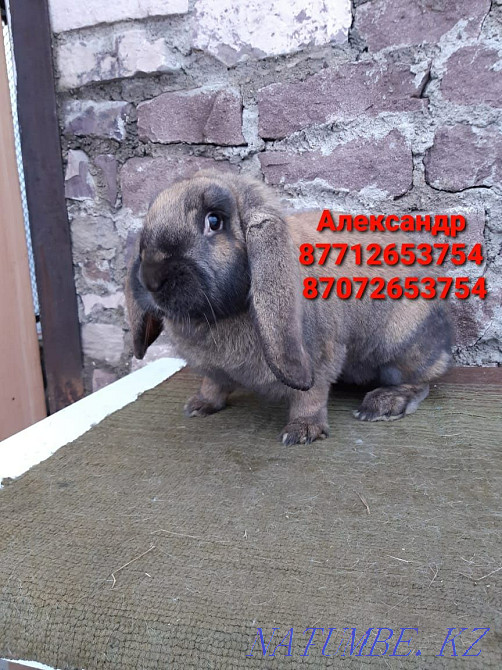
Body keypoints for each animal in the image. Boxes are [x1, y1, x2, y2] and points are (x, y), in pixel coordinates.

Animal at [126, 170, 453, 445]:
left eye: (214, 221)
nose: (151, 278)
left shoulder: (320, 356)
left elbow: (311, 395)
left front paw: (302, 431)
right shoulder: (214, 371)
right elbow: (213, 385)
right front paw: (199, 406)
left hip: (400, 345)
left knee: (420, 382)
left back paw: (383, 404)